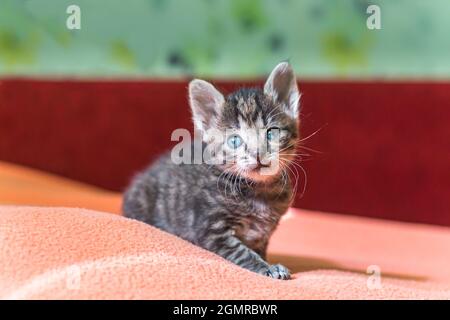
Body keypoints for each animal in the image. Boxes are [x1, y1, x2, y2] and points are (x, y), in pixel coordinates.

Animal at [121, 62, 300, 280]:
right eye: (234, 140)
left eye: (271, 133)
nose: (258, 154)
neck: (258, 190)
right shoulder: (210, 229)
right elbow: (241, 252)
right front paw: (266, 267)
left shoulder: (262, 235)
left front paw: (267, 262)